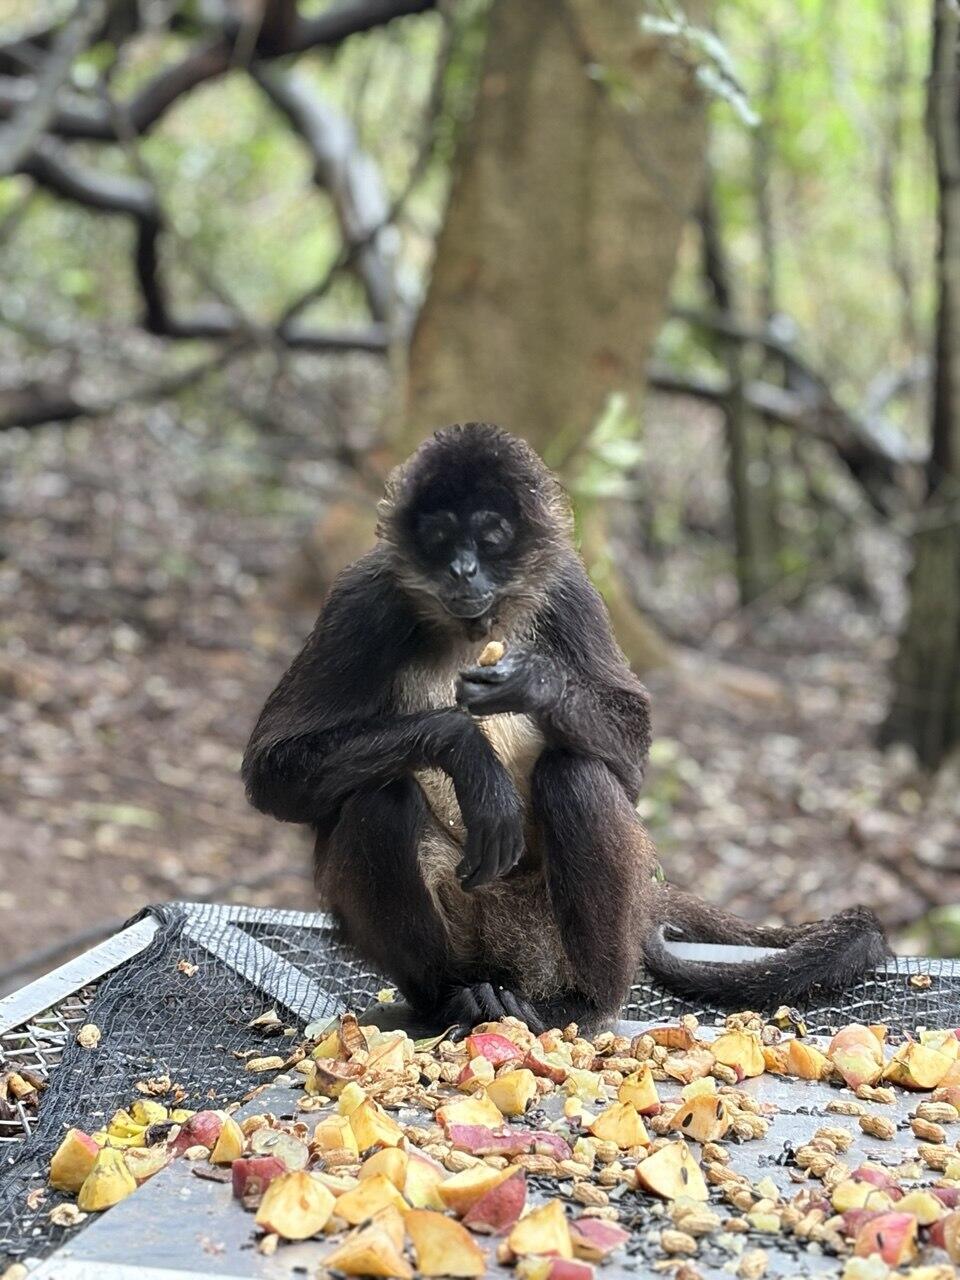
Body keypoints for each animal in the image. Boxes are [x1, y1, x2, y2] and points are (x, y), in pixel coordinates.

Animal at [242, 423, 888, 1032]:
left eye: (491, 537)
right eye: (441, 537)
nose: (463, 570)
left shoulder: (568, 587)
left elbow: (630, 767)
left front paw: (536, 684)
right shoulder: (363, 597)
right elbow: (272, 773)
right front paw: (464, 748)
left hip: (548, 932)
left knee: (575, 775)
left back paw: (580, 1004)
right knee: (380, 799)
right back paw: (455, 997)